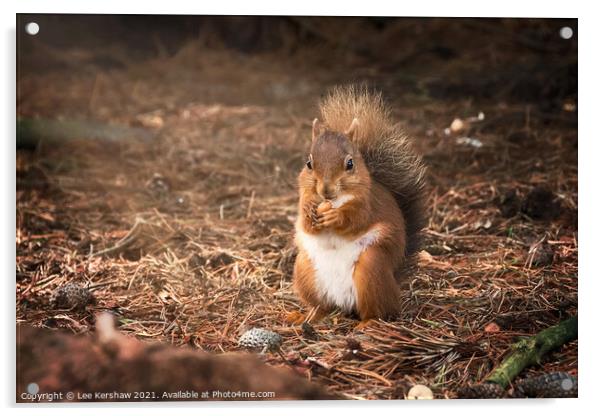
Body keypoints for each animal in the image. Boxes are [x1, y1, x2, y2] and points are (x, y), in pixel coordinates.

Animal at [290, 85, 422, 324]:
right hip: (304, 271)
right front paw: (310, 213)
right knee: (322, 306)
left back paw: (367, 324)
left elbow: (356, 219)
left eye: (350, 163)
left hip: (372, 270)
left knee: (379, 311)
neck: (333, 201)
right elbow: (305, 224)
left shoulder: (368, 204)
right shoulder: (304, 197)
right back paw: (307, 316)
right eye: (309, 163)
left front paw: (336, 217)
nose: (326, 191)